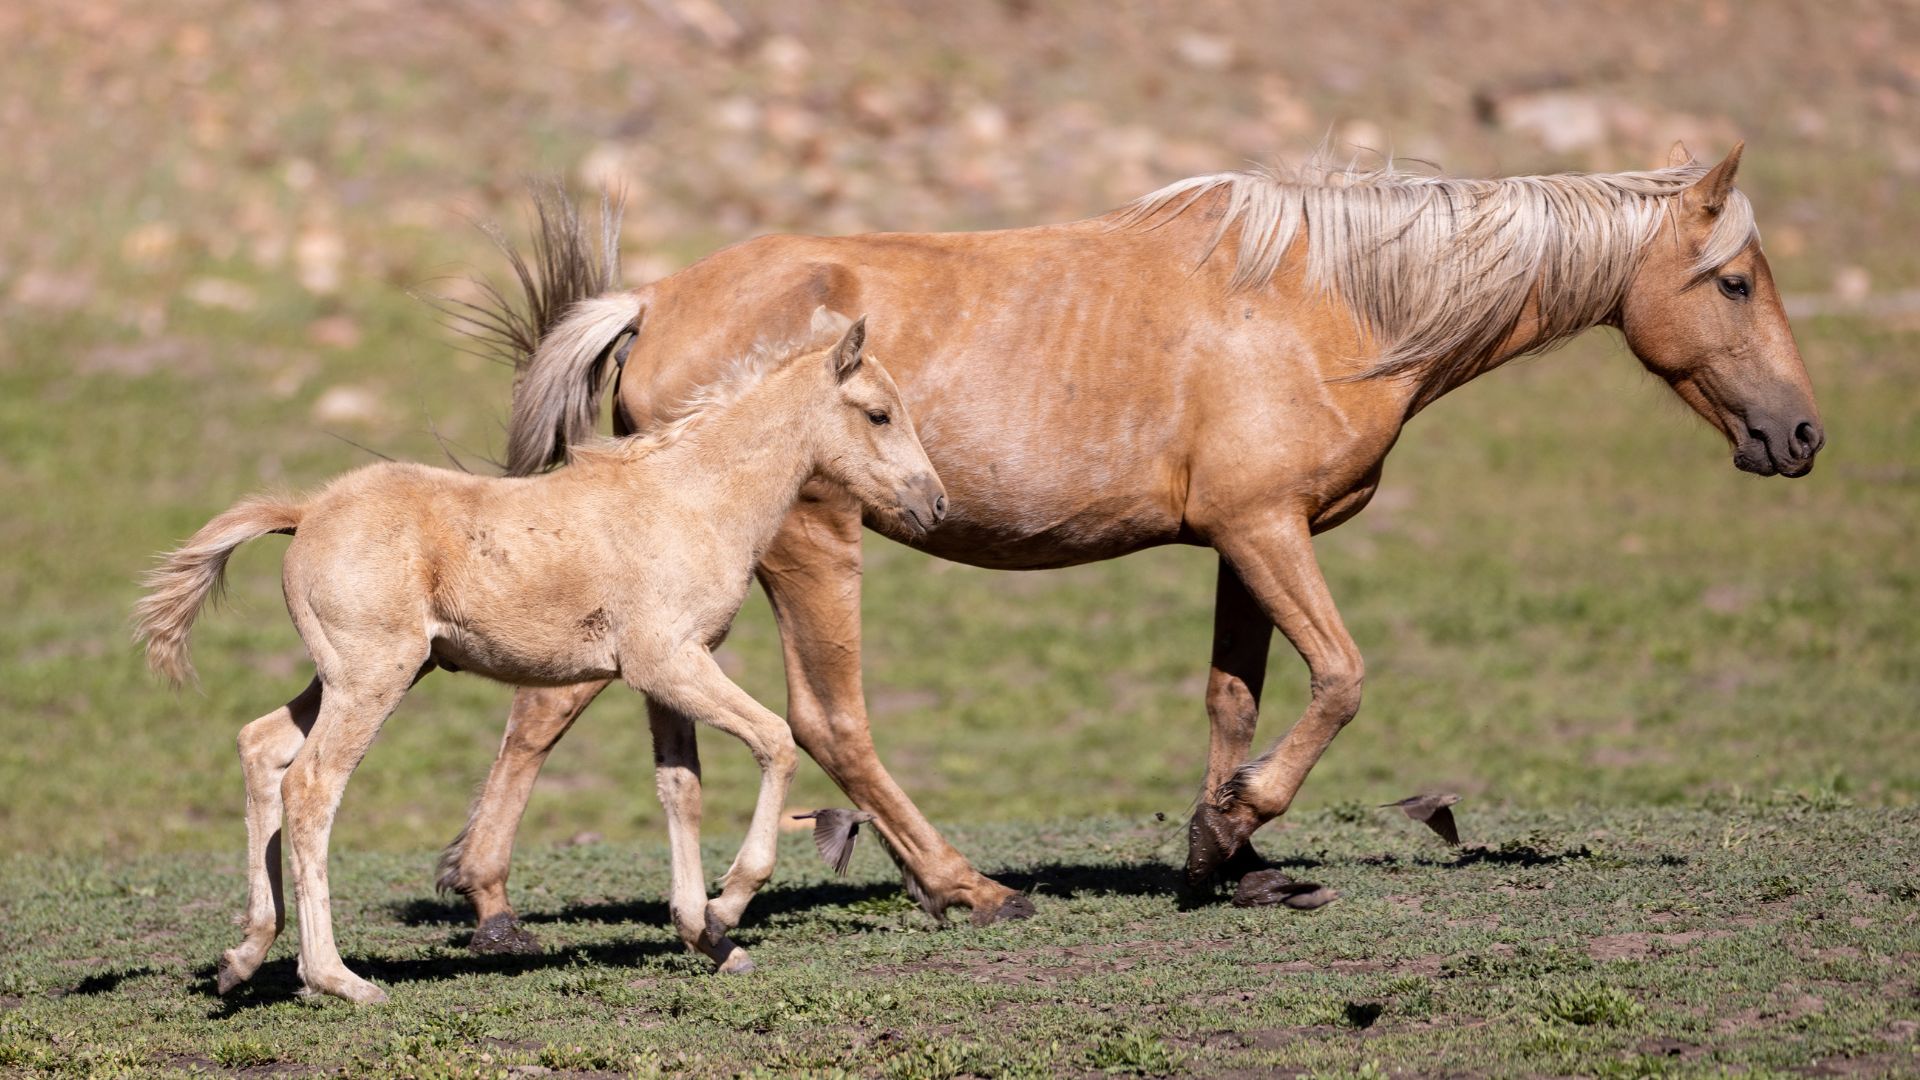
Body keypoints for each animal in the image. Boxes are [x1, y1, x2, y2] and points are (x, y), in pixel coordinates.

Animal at [134, 315, 944, 1002]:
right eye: (878, 413)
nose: (933, 504)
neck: (693, 499)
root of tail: (306, 513)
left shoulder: (661, 678)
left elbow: (679, 789)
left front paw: (707, 935)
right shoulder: (669, 663)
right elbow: (775, 741)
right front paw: (728, 904)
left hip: (356, 675)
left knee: (262, 747)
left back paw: (243, 957)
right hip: (370, 679)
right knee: (311, 787)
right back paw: (338, 979)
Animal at [435, 142, 1822, 948]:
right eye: (1735, 280)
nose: (1801, 433)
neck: (1327, 301)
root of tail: (656, 300)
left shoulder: (1244, 542)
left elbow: (1235, 697)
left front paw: (1230, 860)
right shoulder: (1267, 531)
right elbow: (1341, 680)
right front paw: (1233, 827)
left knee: (551, 703)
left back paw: (489, 899)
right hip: (810, 549)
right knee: (831, 721)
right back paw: (964, 887)